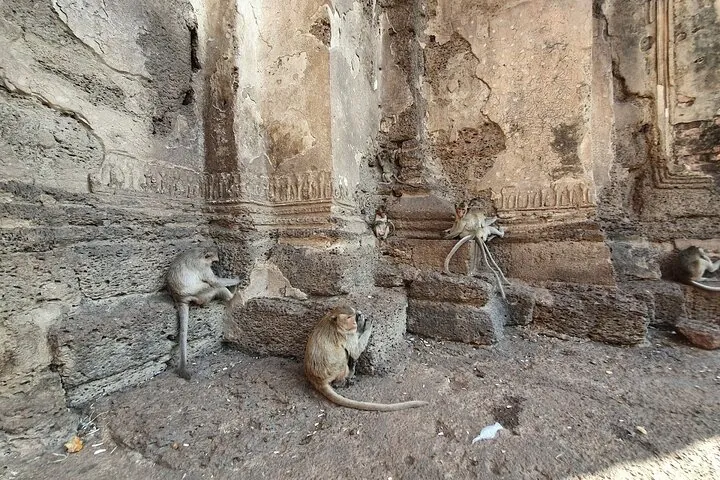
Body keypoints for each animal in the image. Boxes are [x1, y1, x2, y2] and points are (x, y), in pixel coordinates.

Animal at [166, 246, 240, 379]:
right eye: (213, 261)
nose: (214, 265)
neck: (200, 253)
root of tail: (179, 298)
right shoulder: (202, 267)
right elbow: (215, 281)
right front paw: (237, 279)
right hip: (201, 293)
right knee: (212, 286)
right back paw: (231, 294)